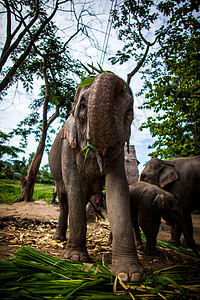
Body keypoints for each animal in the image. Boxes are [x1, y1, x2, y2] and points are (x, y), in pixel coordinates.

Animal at [49, 71, 143, 282]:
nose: (119, 79)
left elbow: (117, 188)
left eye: (128, 111)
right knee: (65, 200)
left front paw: (129, 275)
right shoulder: (68, 147)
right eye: (83, 106)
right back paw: (58, 238)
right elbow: (74, 186)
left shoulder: (118, 154)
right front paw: (75, 258)